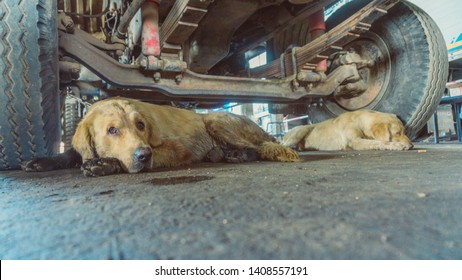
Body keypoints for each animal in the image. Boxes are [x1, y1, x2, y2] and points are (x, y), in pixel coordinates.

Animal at [23, 96, 300, 175]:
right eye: (112, 130)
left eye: (141, 125)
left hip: (214, 119)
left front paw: (107, 164)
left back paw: (235, 154)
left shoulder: (176, 149)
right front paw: (42, 161)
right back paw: (219, 153)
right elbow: (70, 153)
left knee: (255, 148)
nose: (143, 155)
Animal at [282, 110, 416, 152]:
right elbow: (378, 142)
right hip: (300, 130)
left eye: (405, 131)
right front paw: (398, 145)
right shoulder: (354, 141)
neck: (359, 121)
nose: (412, 145)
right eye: (397, 133)